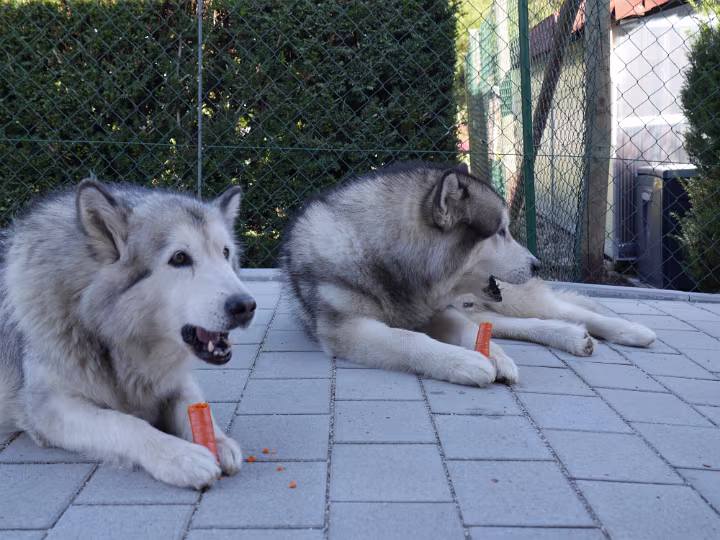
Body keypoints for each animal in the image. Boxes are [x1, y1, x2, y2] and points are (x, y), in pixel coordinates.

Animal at [0, 178, 256, 488]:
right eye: (179, 258)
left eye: (225, 253)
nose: (246, 306)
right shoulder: (49, 408)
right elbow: (125, 423)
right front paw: (179, 457)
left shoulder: (174, 380)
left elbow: (193, 404)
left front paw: (219, 442)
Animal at [279, 162, 655, 386]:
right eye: (501, 231)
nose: (536, 265)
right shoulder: (349, 329)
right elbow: (409, 339)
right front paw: (469, 361)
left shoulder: (440, 312)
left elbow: (468, 332)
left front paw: (493, 357)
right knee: (525, 323)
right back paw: (571, 336)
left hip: (510, 298)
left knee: (563, 309)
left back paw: (631, 331)